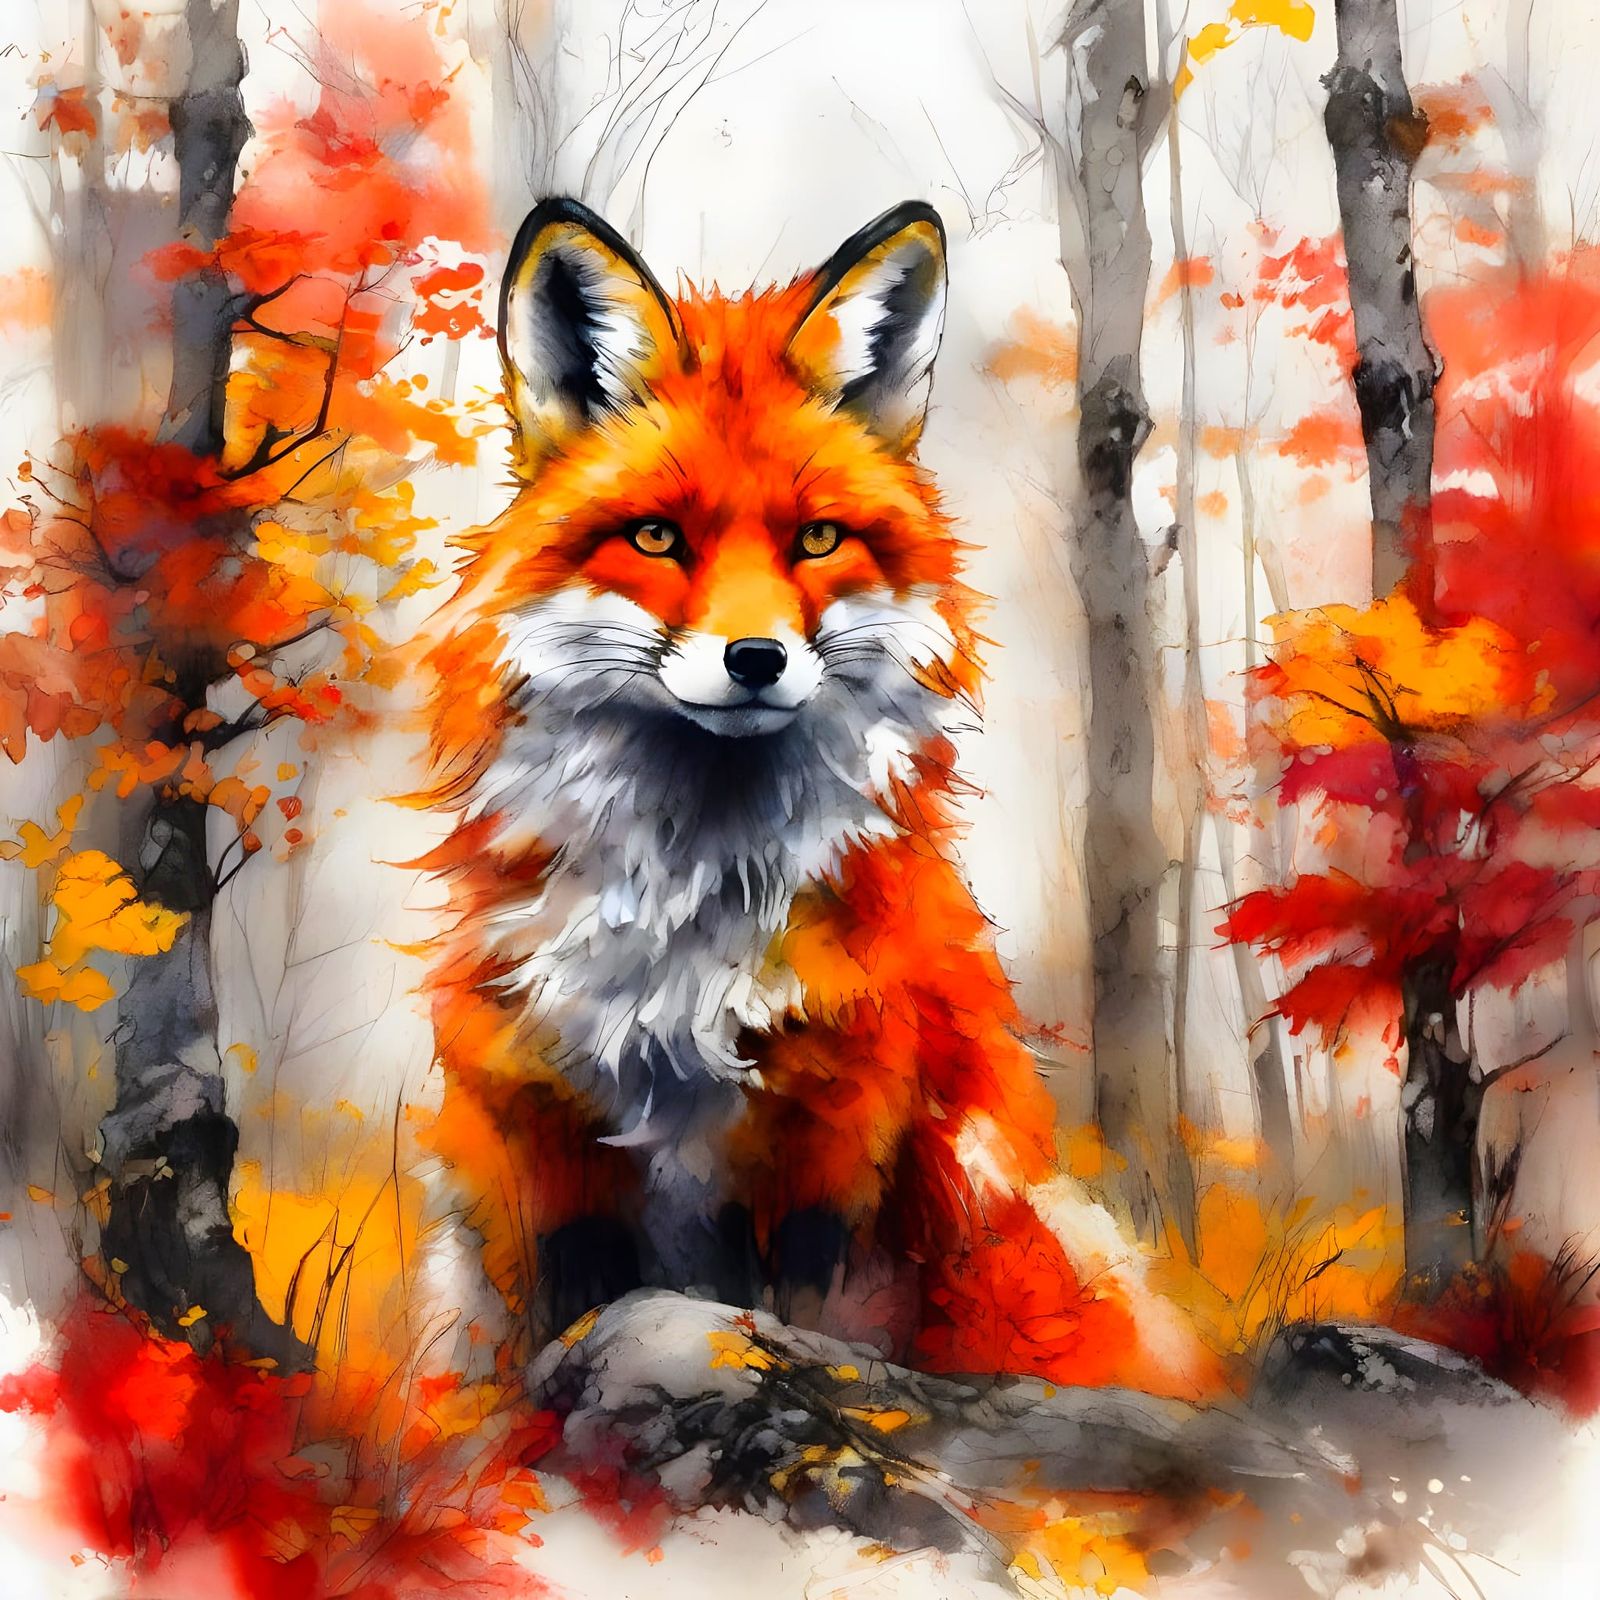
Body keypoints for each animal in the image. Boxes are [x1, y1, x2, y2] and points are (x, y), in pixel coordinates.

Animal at [420, 197, 1214, 1397]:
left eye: (817, 539)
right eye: (658, 537)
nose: (755, 659)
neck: (692, 920)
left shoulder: (840, 1141)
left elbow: (818, 1329)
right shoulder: (542, 1136)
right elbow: (555, 1328)